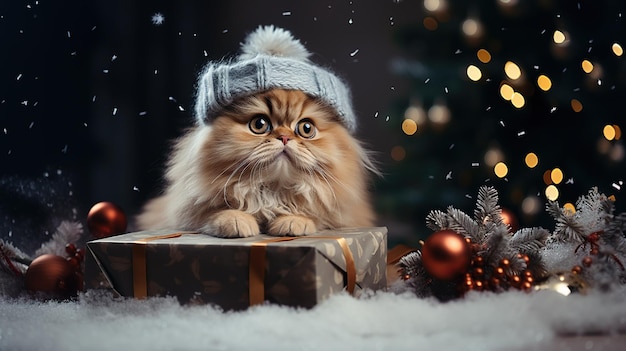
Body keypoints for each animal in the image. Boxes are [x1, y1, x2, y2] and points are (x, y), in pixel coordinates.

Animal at [136, 88, 378, 239]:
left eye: (306, 129)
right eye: (260, 124)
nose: (284, 137)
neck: (271, 191)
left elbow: (314, 213)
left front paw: (293, 222)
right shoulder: (183, 210)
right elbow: (214, 212)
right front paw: (236, 221)